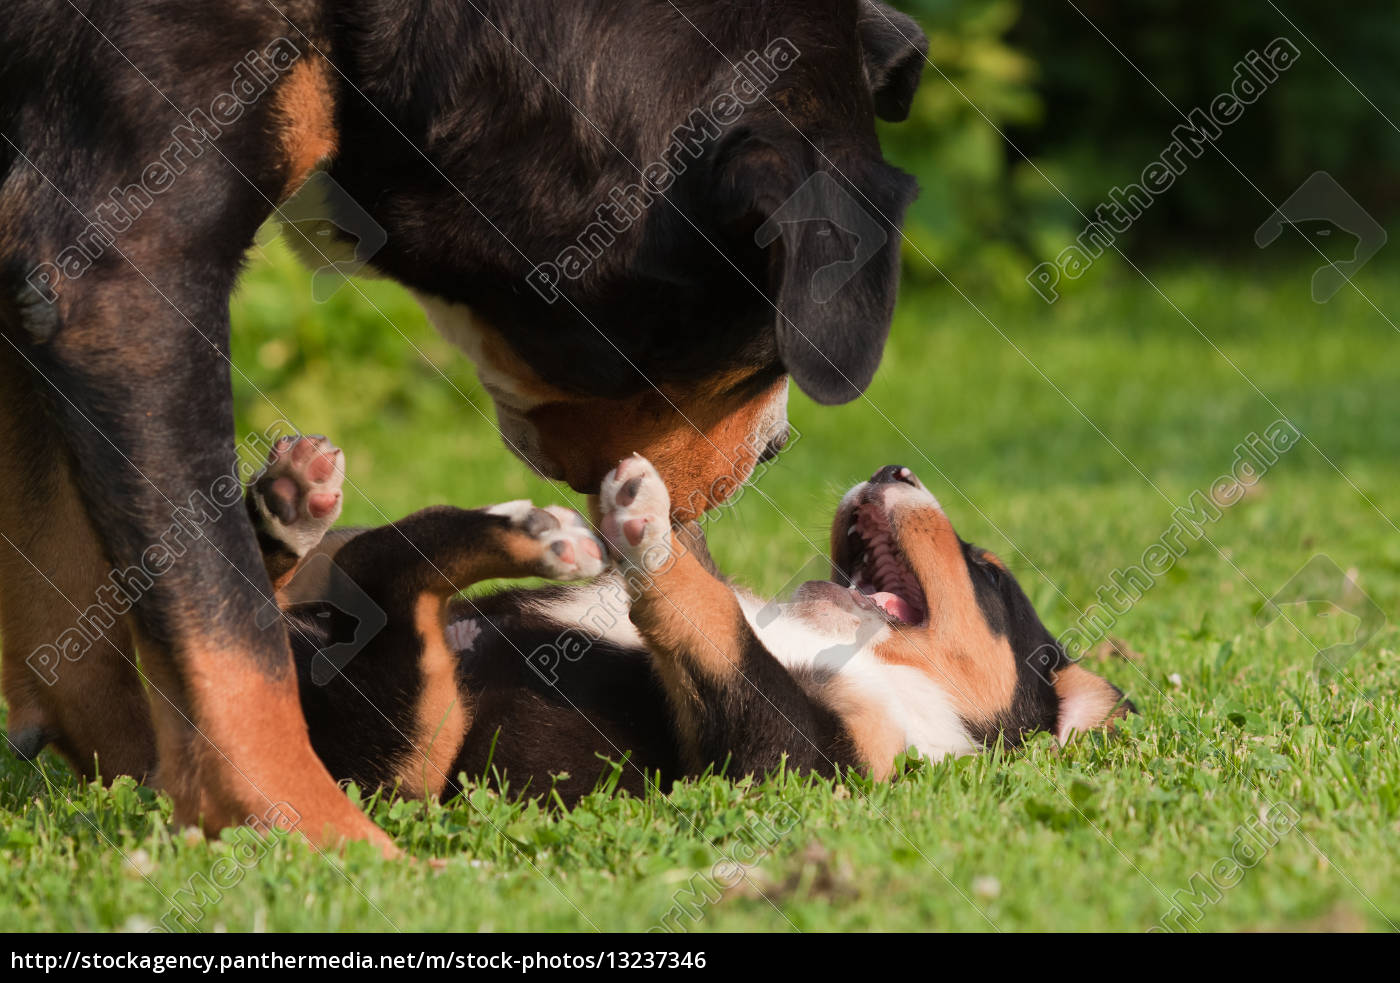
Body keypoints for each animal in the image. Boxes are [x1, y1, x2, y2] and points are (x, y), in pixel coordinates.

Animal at [0, 0, 929, 856]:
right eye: (760, 350)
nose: (775, 450)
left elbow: (82, 615)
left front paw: (136, 779)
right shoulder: (123, 271)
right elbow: (226, 638)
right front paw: (312, 834)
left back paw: (303, 511)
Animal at [249, 434, 1125, 806]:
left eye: (988, 572)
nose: (893, 468)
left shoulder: (784, 760)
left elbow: (721, 624)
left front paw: (652, 535)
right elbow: (723, 598)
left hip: (412, 747)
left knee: (390, 584)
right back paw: (292, 503)